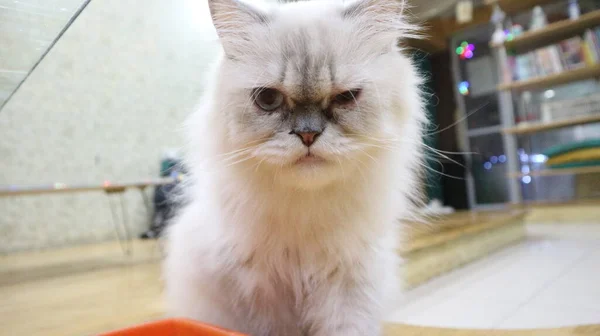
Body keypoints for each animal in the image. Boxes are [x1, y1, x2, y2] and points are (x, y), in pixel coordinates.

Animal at [164, 1, 426, 334]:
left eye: (345, 97)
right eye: (267, 99)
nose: (308, 134)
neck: (305, 214)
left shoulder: (348, 283)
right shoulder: (261, 292)